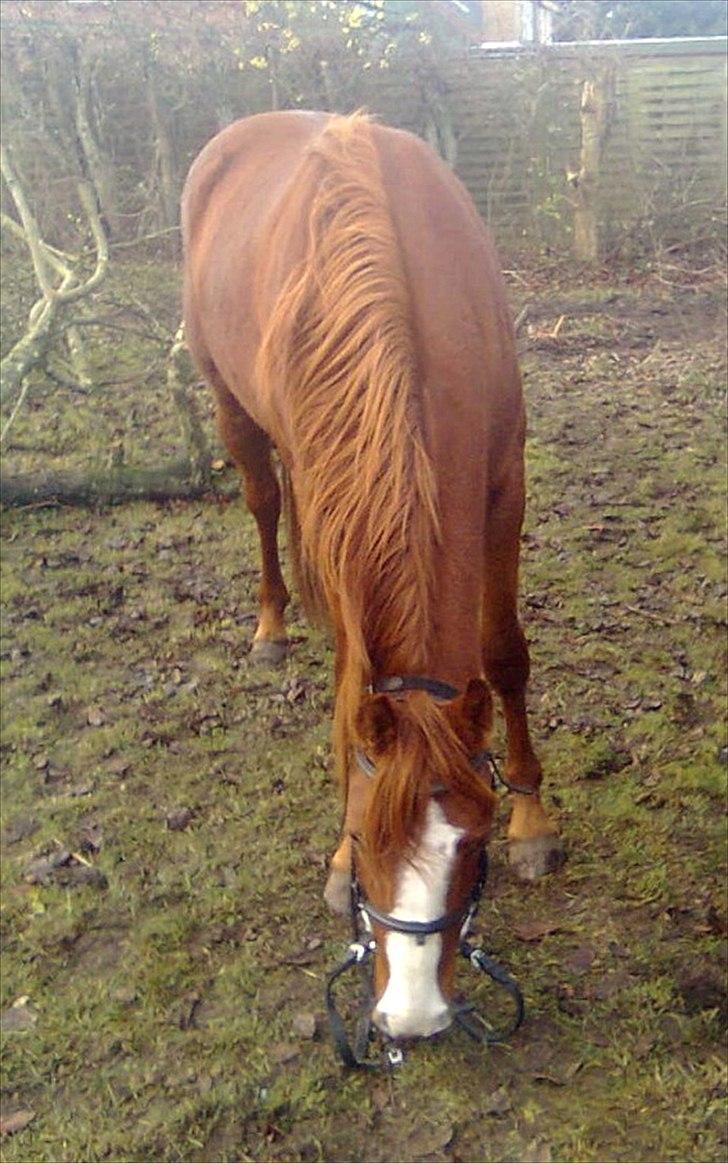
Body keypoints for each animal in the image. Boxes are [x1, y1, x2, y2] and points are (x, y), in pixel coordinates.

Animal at [180, 111, 560, 1037]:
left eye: (474, 842)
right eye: (362, 839)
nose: (412, 1015)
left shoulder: (503, 483)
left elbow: (505, 652)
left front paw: (535, 817)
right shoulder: (336, 517)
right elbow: (351, 674)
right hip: (231, 406)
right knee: (260, 499)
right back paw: (271, 623)